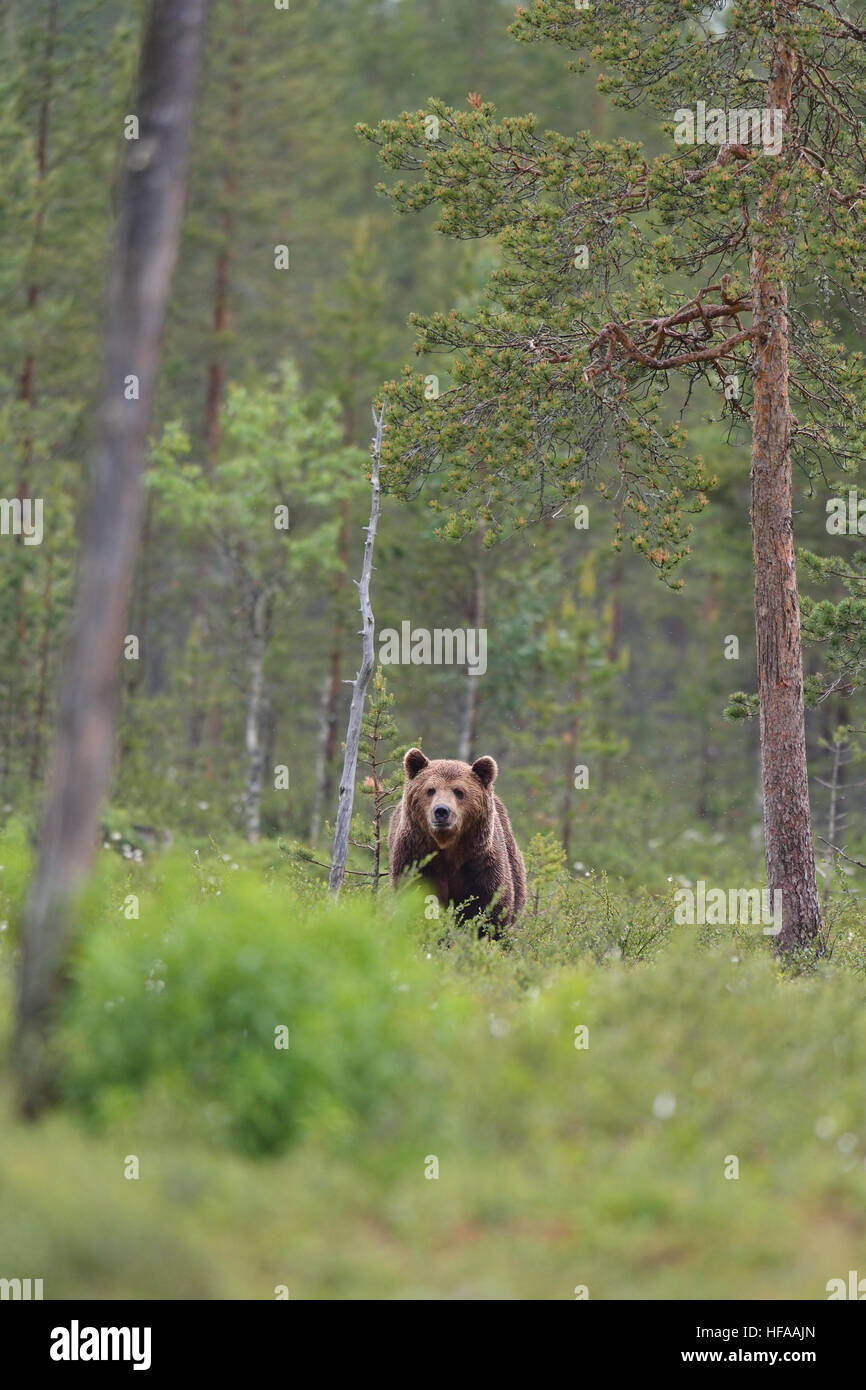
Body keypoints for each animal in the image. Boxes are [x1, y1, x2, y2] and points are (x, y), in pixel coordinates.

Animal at [388, 748, 526, 928]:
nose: (441, 811)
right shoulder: (416, 859)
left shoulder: (481, 863)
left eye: (459, 791)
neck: (447, 846)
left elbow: (491, 909)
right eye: (430, 790)